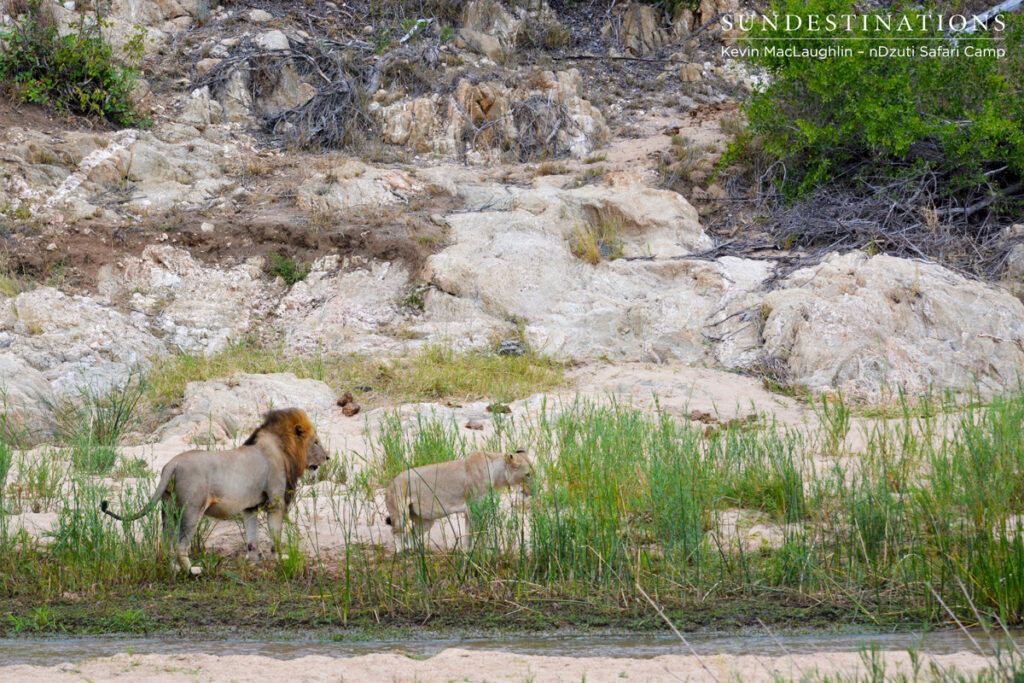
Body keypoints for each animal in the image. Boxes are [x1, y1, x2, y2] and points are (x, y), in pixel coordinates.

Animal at [101, 408, 329, 575]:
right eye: (316, 442)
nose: (328, 457)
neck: (283, 448)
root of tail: (172, 464)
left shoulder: (250, 507)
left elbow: (252, 536)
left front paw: (255, 558)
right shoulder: (275, 501)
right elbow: (276, 534)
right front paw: (279, 557)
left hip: (169, 509)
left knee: (165, 541)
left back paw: (172, 568)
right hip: (192, 509)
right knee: (181, 544)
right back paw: (191, 570)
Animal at [384, 449, 534, 552]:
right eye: (528, 474)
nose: (533, 491)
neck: (497, 475)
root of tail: (390, 483)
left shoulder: (469, 511)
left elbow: (468, 534)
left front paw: (468, 553)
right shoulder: (474, 507)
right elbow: (480, 533)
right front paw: (484, 552)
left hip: (425, 520)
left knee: (410, 534)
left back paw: (414, 551)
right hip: (400, 513)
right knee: (395, 532)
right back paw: (401, 551)